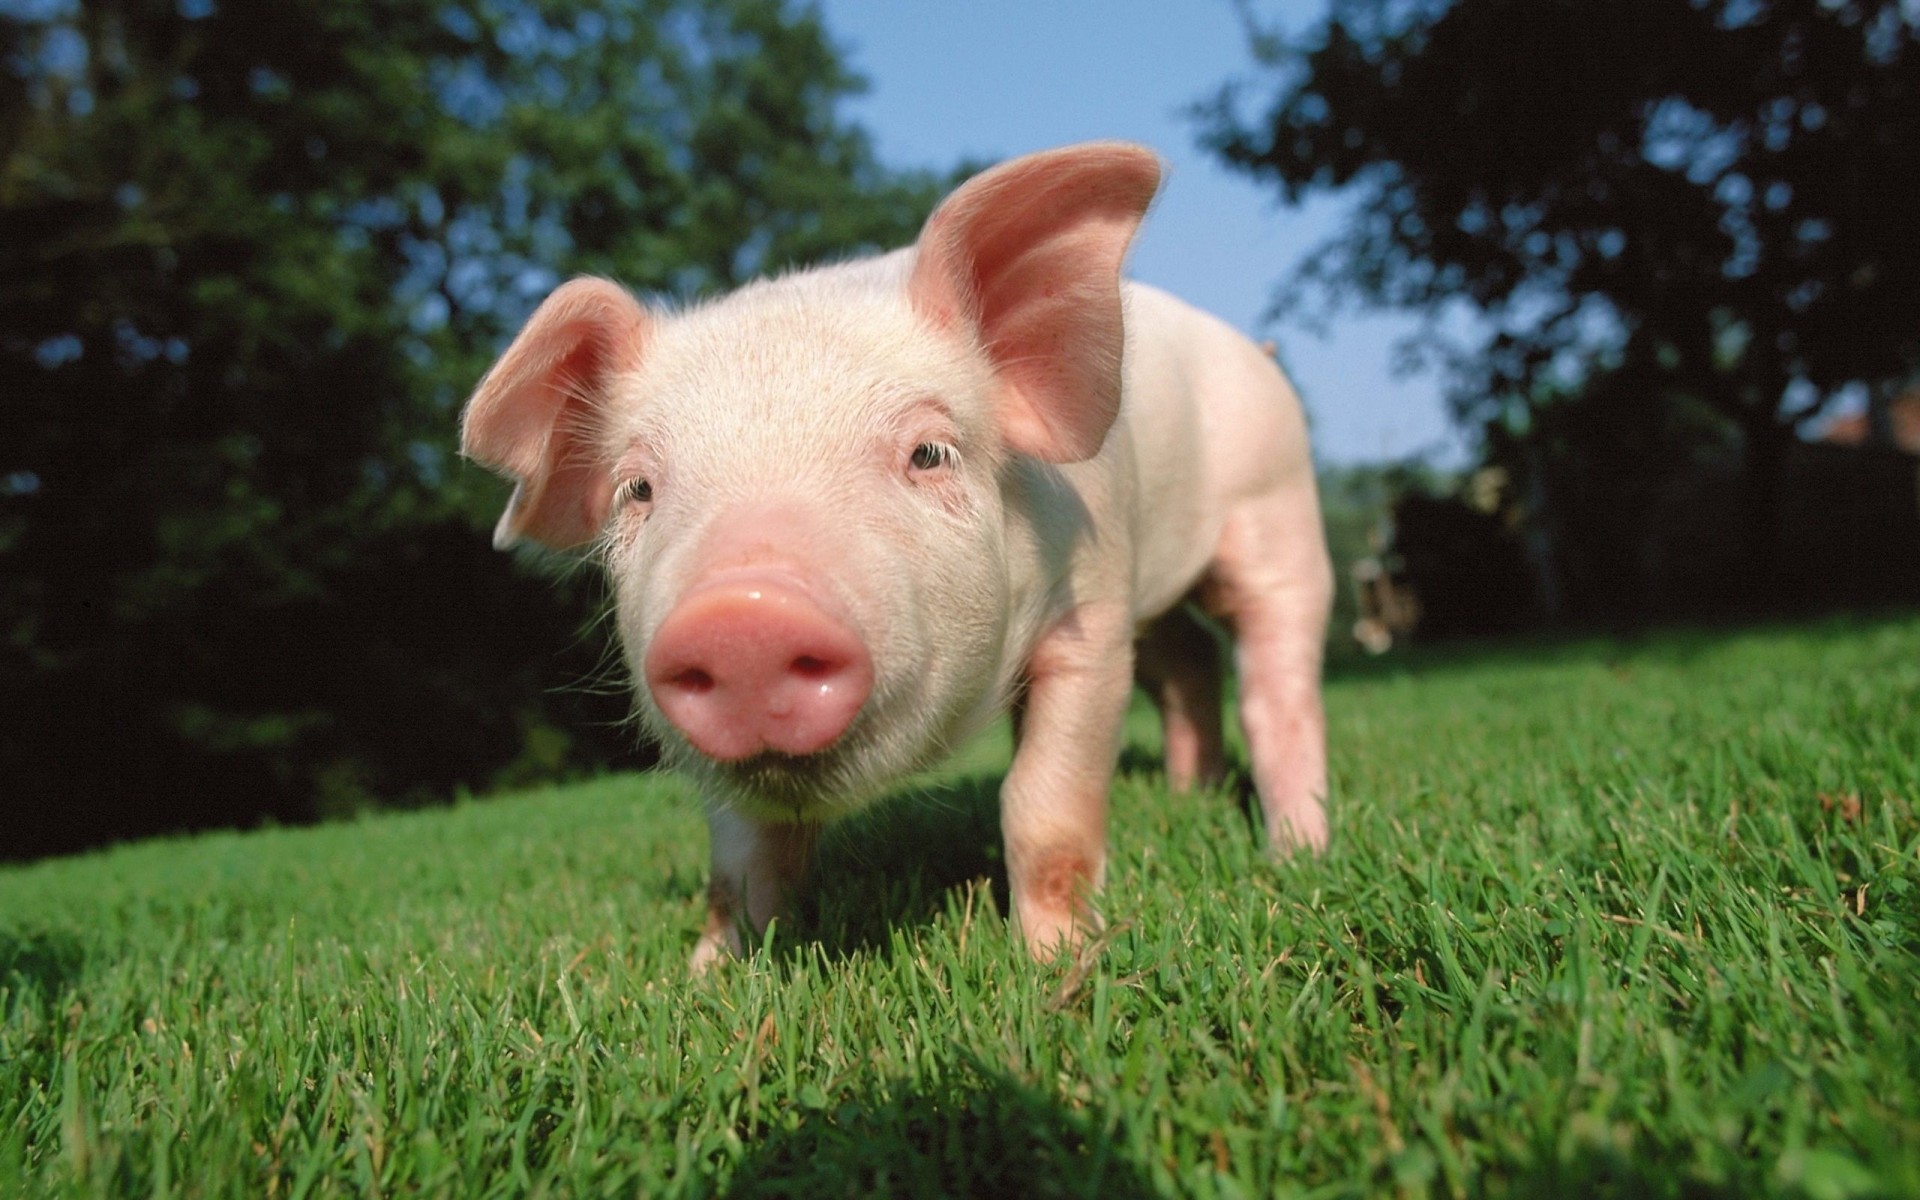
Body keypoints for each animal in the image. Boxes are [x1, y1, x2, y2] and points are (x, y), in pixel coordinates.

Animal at [460, 142, 1332, 968]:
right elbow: (740, 859)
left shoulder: (1093, 611)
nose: (743, 616)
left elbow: (1043, 804)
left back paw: (1298, 853)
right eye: (637, 488)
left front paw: (1057, 963)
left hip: (1278, 503)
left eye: (928, 453)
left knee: (1274, 676)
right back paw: (1189, 799)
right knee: (1189, 662)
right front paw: (705, 977)